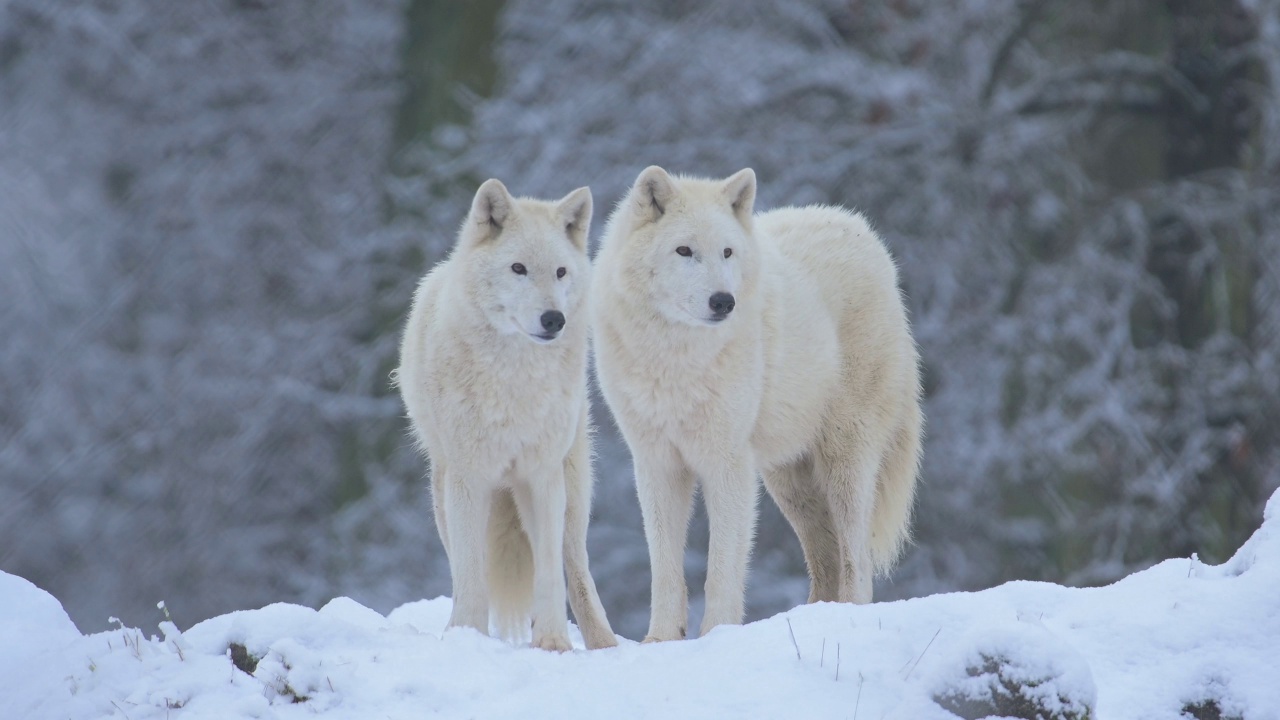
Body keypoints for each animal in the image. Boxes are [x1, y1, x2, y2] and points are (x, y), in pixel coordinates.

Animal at [399, 178, 619, 650]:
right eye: (518, 268)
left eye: (561, 272)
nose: (553, 319)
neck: (515, 380)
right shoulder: (469, 478)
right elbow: (471, 574)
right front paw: (466, 637)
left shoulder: (542, 475)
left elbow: (551, 572)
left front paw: (553, 642)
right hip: (444, 490)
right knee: (466, 566)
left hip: (572, 492)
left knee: (576, 569)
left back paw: (603, 643)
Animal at [588, 163, 921, 638]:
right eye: (684, 251)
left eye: (727, 252)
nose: (723, 302)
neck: (676, 358)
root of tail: (861, 230)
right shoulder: (657, 463)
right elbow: (664, 568)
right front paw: (660, 639)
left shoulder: (728, 464)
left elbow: (722, 567)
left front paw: (715, 636)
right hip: (788, 480)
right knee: (825, 560)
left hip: (844, 460)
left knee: (856, 560)